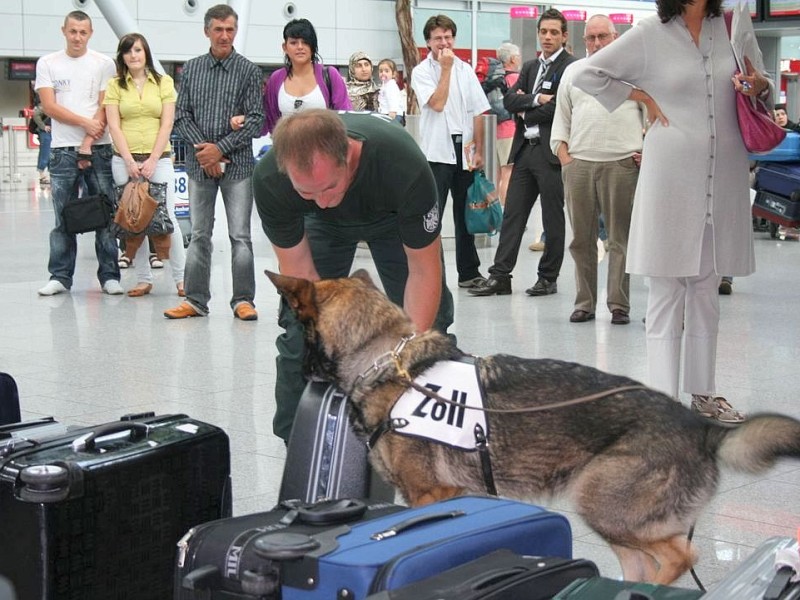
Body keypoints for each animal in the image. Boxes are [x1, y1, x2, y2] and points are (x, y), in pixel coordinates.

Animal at [268, 270, 800, 584]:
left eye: (298, 325)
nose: (297, 372)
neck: (385, 359)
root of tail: (700, 426)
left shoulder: (427, 496)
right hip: (610, 515)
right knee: (640, 563)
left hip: (601, 503)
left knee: (679, 558)